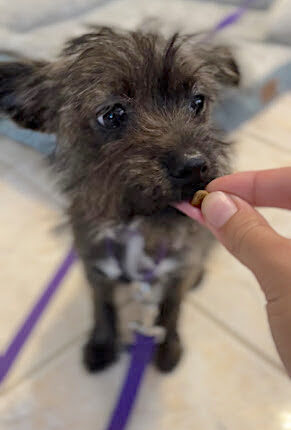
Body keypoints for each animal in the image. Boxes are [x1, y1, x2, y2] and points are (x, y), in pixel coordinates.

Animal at [0, 28, 240, 372]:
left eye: (198, 102)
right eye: (112, 114)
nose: (195, 165)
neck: (136, 225)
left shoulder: (178, 268)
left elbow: (171, 305)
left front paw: (168, 344)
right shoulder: (95, 270)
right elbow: (102, 306)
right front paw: (102, 343)